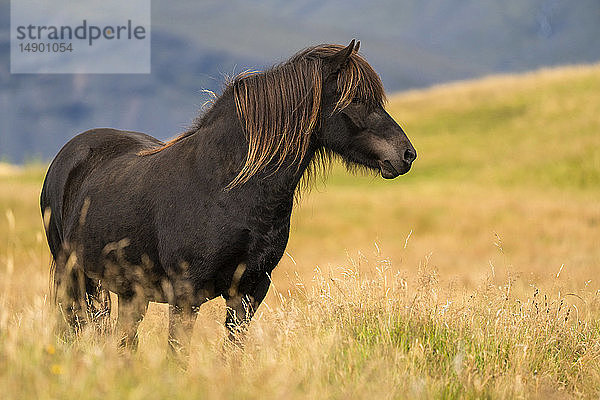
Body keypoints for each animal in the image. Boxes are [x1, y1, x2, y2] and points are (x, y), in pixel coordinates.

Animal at [41, 40, 418, 352]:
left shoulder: (249, 292)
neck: (225, 189)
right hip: (73, 279)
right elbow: (177, 354)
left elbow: (232, 353)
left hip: (130, 292)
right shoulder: (186, 294)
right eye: (356, 100)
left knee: (123, 341)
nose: (406, 155)